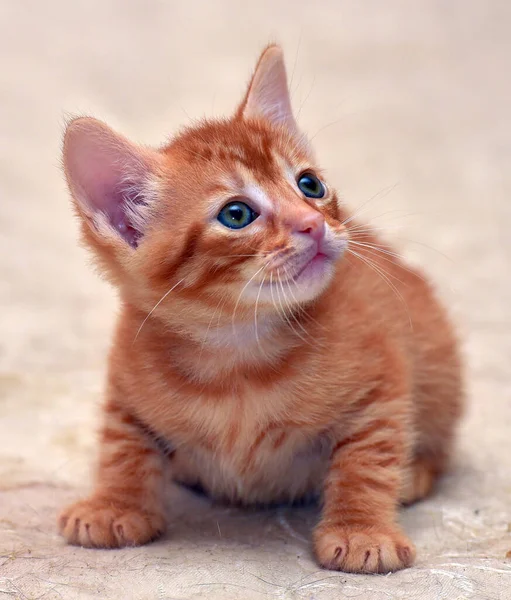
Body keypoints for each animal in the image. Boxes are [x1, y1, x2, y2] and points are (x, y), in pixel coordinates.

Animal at [57, 43, 464, 572]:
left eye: (310, 185)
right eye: (236, 214)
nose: (314, 223)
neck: (236, 356)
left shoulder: (382, 382)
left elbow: (368, 459)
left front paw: (362, 529)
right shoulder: (127, 378)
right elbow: (121, 441)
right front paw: (112, 504)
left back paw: (414, 473)